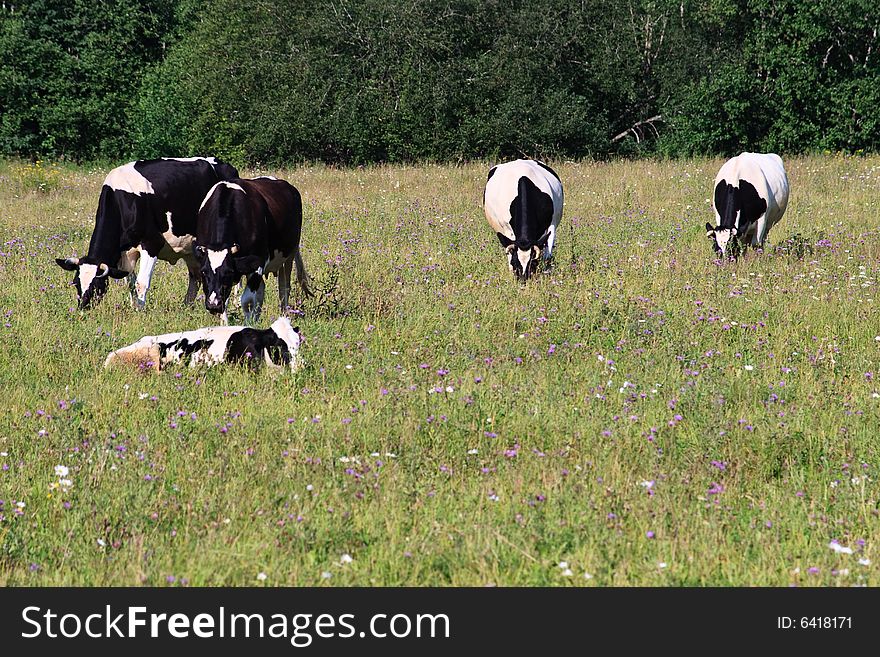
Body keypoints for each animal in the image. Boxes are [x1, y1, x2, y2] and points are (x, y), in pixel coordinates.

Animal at [56, 156, 239, 308]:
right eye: (76, 283)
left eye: (95, 285)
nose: (82, 307)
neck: (124, 201)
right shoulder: (126, 253)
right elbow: (130, 282)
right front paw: (134, 307)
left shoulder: (151, 243)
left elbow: (141, 283)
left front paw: (140, 310)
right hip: (192, 248)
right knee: (196, 276)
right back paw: (186, 306)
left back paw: (235, 304)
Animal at [195, 174, 312, 322]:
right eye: (203, 272)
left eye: (228, 271)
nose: (213, 304)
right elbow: (227, 303)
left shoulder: (258, 262)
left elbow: (247, 300)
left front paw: (248, 323)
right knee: (262, 289)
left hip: (288, 256)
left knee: (284, 287)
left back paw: (284, 315)